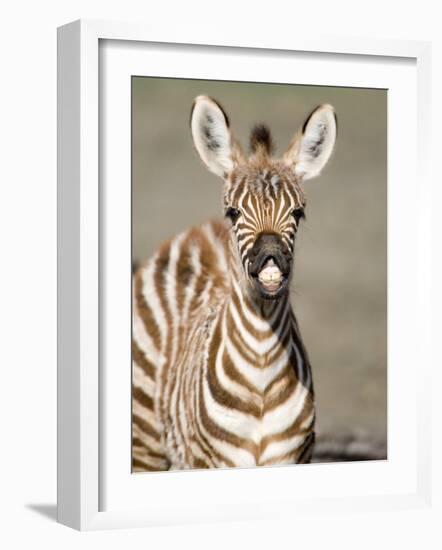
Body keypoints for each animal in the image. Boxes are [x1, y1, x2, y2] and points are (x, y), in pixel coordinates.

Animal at [133, 96, 336, 474]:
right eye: (233, 213)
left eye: (298, 213)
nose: (270, 260)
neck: (261, 369)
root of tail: (198, 232)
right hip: (145, 442)